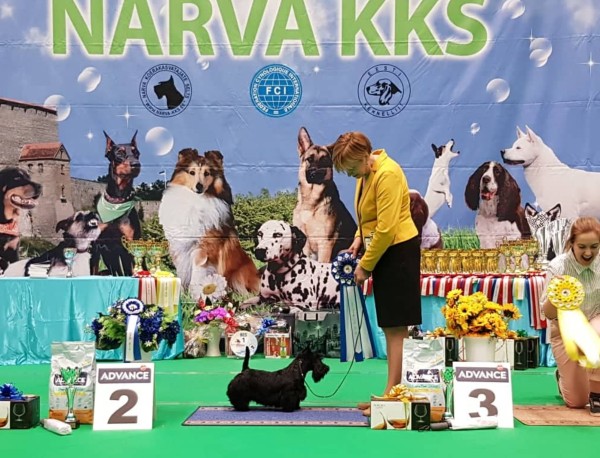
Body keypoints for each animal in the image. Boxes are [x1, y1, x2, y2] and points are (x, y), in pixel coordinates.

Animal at [91, 131, 141, 276]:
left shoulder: (129, 246)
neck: (117, 201)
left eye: (137, 153)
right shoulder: (96, 247)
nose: (136, 164)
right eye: (119, 153)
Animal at [159, 149, 259, 294]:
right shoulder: (178, 247)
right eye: (192, 172)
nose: (199, 186)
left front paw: (195, 294)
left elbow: (197, 273)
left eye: (207, 173)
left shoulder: (204, 248)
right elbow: (181, 272)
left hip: (240, 271)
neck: (196, 200)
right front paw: (181, 294)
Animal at [294, 127, 357, 262]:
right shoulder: (305, 245)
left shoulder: (325, 243)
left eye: (324, 161)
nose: (314, 174)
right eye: (309, 159)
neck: (311, 201)